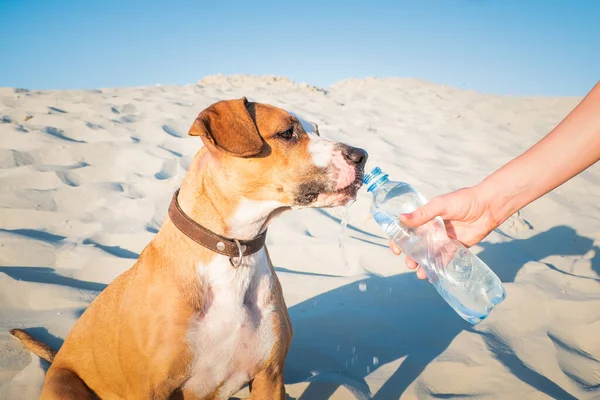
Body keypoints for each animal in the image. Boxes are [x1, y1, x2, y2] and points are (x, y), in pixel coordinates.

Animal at [9, 97, 368, 400]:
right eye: (287, 132)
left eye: (316, 130)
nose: (361, 155)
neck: (233, 250)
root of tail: (59, 355)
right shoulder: (150, 389)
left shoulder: (270, 376)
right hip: (64, 386)